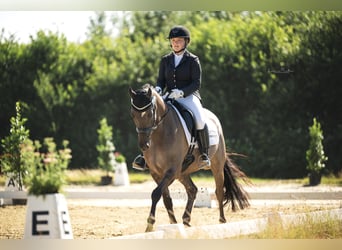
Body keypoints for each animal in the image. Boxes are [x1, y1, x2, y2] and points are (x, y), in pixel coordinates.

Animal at [130, 84, 250, 232]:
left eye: (149, 114)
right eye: (133, 115)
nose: (144, 145)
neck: (160, 134)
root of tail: (213, 117)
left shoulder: (172, 171)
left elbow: (156, 193)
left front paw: (150, 224)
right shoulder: (156, 173)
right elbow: (166, 197)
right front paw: (173, 224)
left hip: (216, 166)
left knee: (219, 191)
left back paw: (222, 221)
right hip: (183, 172)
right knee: (192, 190)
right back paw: (186, 220)